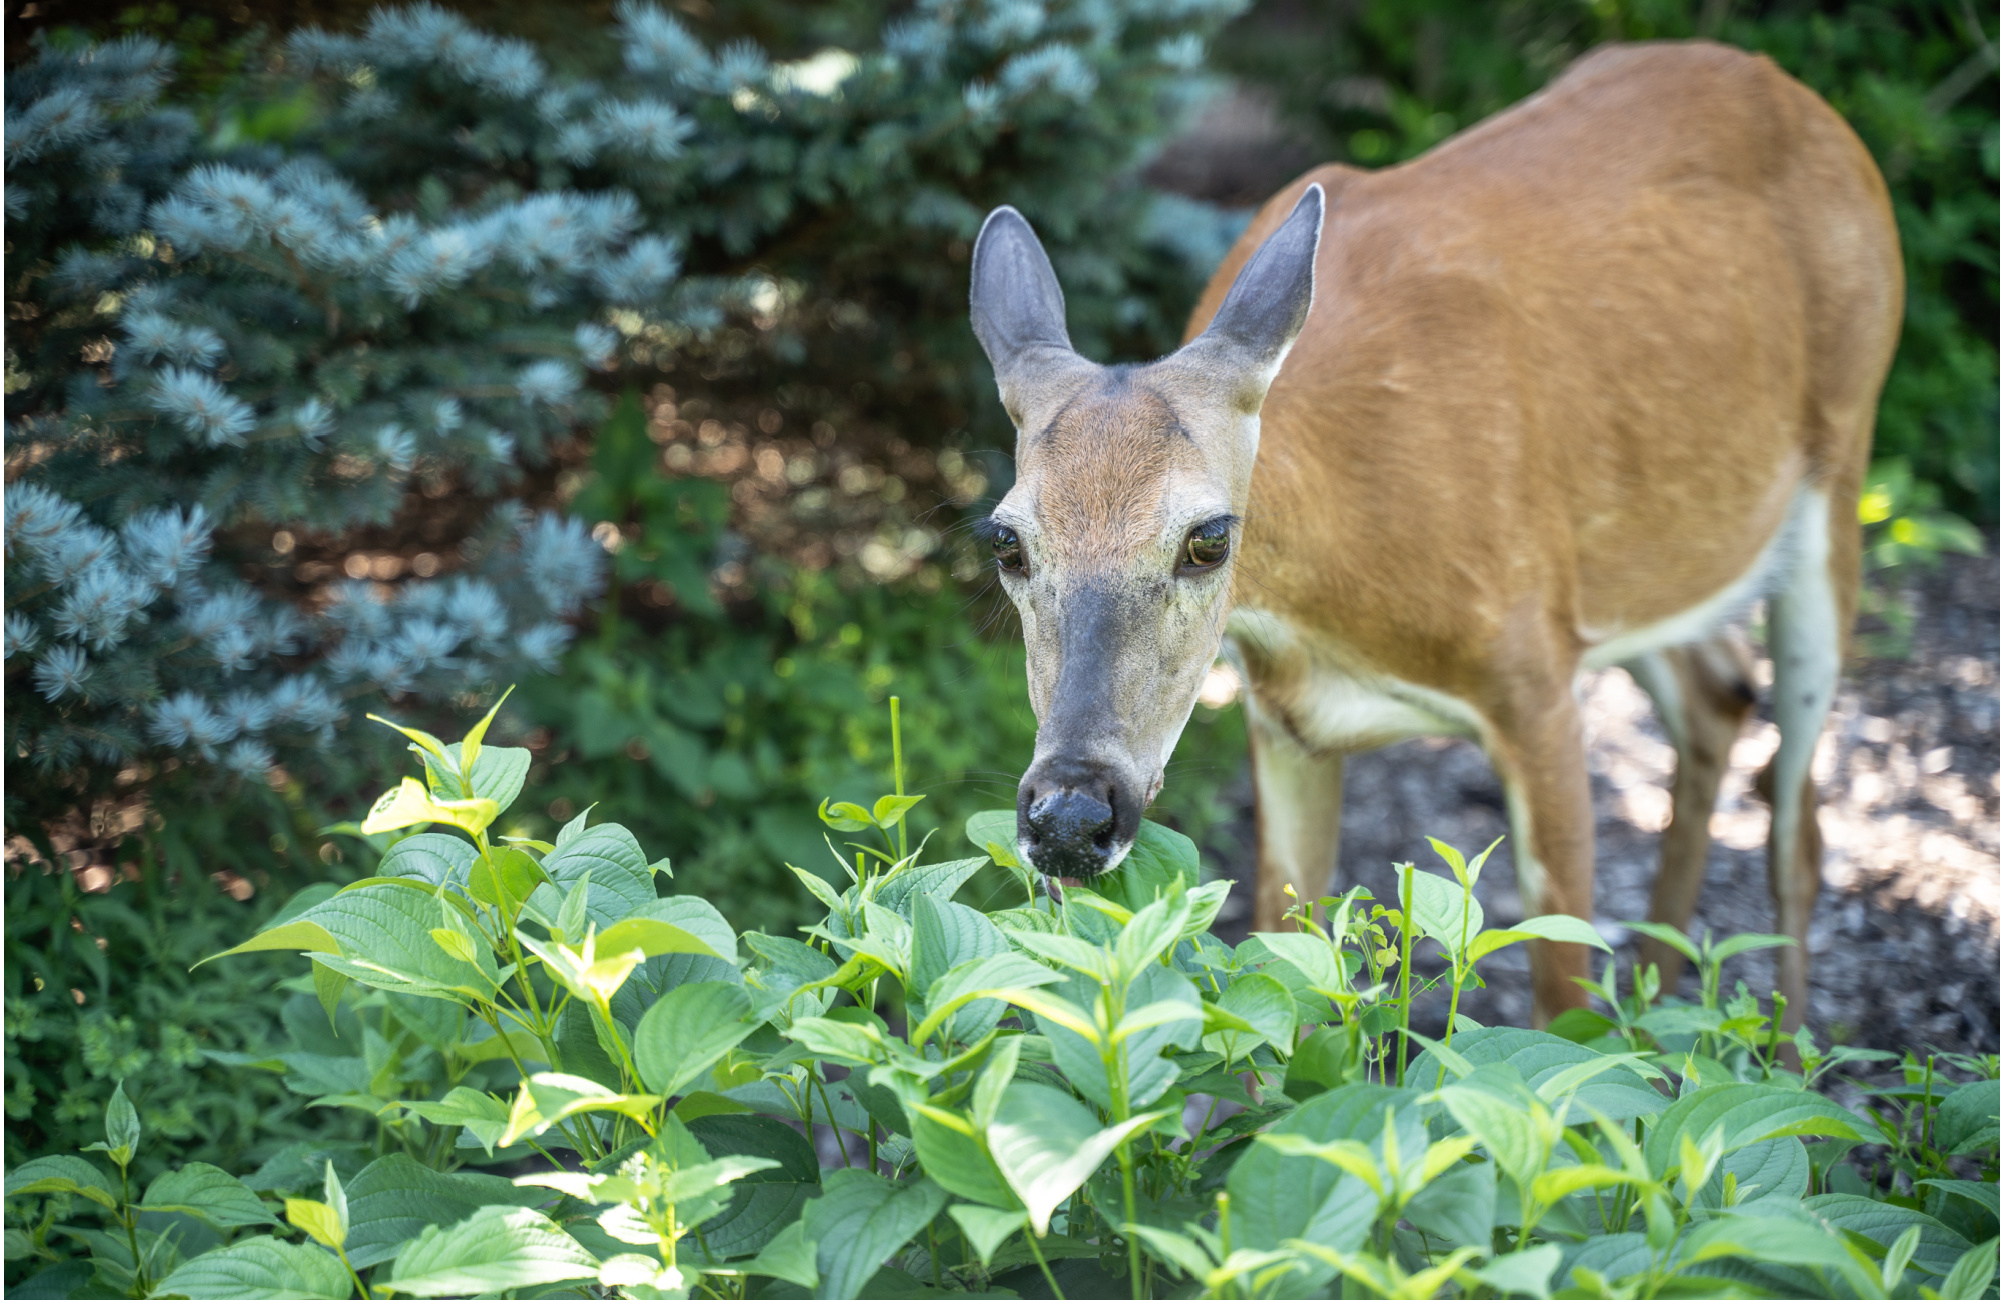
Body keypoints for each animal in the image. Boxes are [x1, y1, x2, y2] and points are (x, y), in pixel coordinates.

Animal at [968, 40, 1904, 1024]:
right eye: (1006, 542)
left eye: (1209, 538)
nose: (1070, 817)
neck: (1338, 592)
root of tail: (1804, 100)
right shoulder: (1284, 720)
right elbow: (1287, 970)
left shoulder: (1536, 683)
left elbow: (1561, 1003)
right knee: (1719, 694)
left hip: (1841, 474)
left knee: (1799, 829)